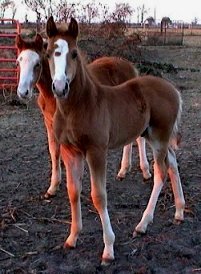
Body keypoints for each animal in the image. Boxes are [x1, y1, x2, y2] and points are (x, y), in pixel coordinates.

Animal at [16, 33, 151, 199]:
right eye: (18, 62)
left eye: (37, 63)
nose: (23, 92)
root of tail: (129, 66)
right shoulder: (50, 124)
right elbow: (54, 152)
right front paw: (52, 188)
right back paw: (123, 171)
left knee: (139, 138)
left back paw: (145, 172)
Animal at [45, 16, 185, 264]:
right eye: (50, 52)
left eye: (74, 53)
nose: (60, 87)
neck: (80, 106)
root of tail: (173, 90)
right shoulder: (71, 152)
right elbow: (73, 192)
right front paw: (72, 237)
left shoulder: (96, 152)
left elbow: (98, 196)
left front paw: (109, 248)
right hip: (154, 137)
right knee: (172, 163)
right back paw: (179, 212)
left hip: (159, 137)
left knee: (161, 171)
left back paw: (142, 224)